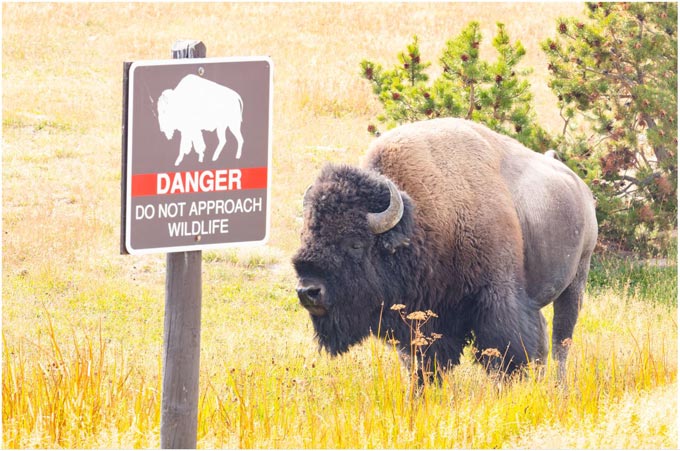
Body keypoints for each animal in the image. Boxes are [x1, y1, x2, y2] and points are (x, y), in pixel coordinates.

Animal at [292, 118, 596, 380]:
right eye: (306, 236)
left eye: (355, 243)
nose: (308, 291)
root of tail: (580, 187)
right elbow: (421, 362)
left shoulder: (496, 299)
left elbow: (505, 353)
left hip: (576, 281)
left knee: (561, 341)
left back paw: (558, 386)